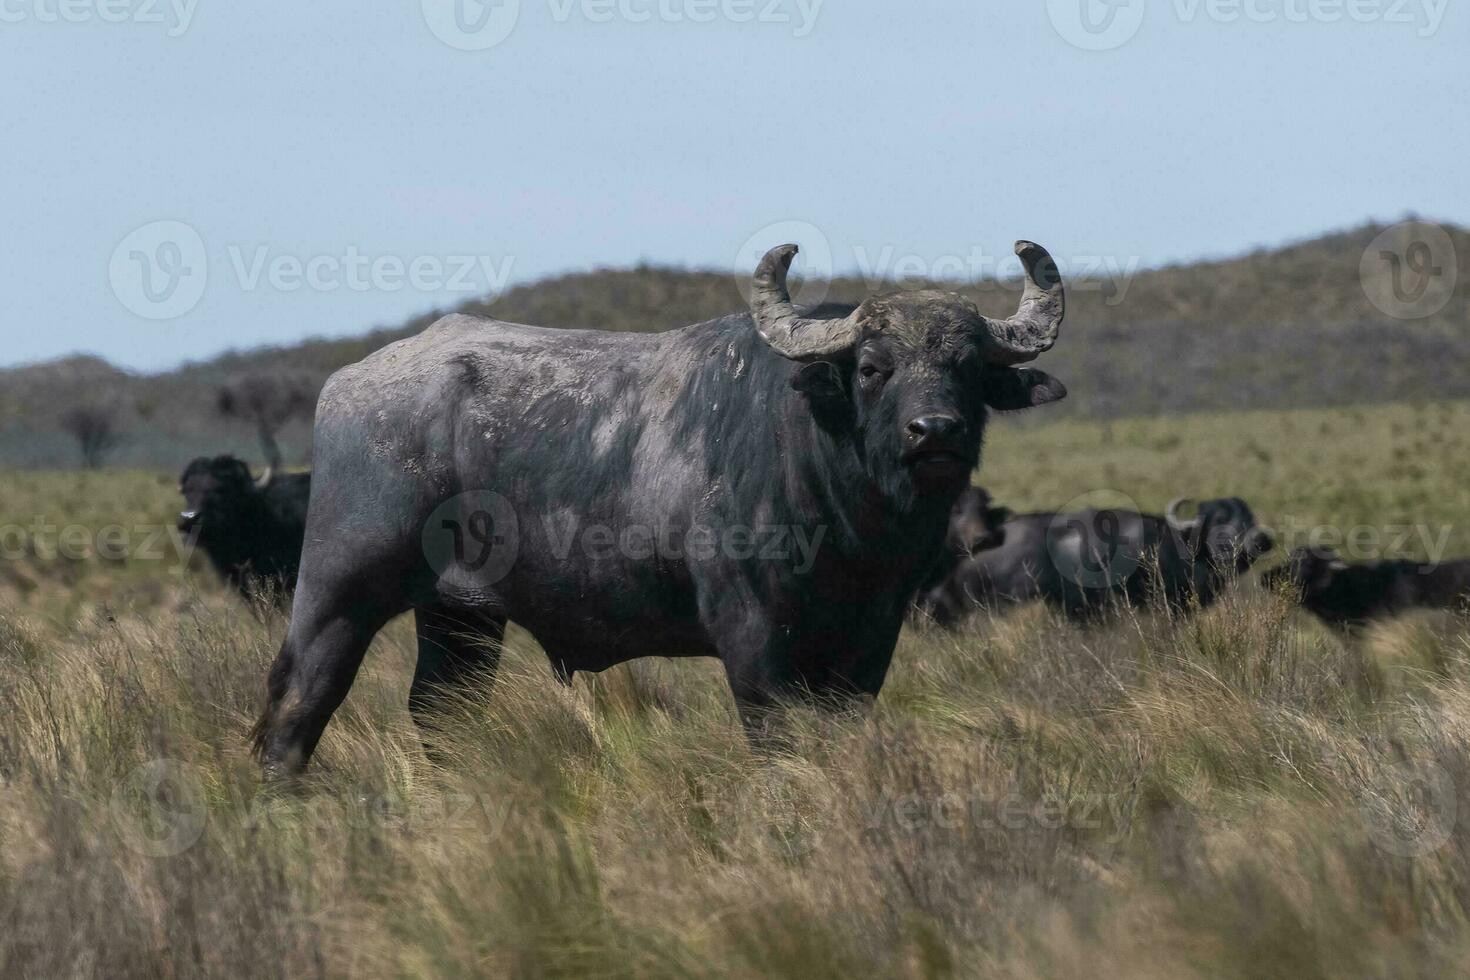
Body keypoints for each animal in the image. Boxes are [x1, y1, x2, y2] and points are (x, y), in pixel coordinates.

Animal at [252, 239, 1070, 781]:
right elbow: (778, 750)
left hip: (460, 618)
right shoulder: (754, 645)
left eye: (968, 369)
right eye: (873, 368)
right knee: (294, 708)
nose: (935, 432)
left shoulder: (869, 646)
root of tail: (348, 384)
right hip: (338, 594)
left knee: (440, 717)